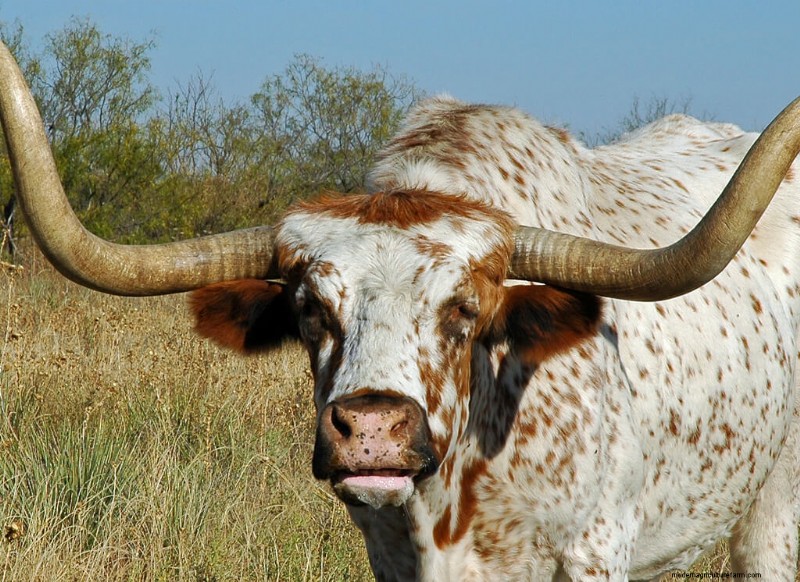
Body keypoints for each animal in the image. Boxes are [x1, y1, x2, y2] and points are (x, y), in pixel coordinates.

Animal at [1, 41, 799, 580]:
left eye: (464, 309)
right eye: (310, 310)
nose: (372, 432)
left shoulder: (594, 549)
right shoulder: (389, 554)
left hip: (773, 515)